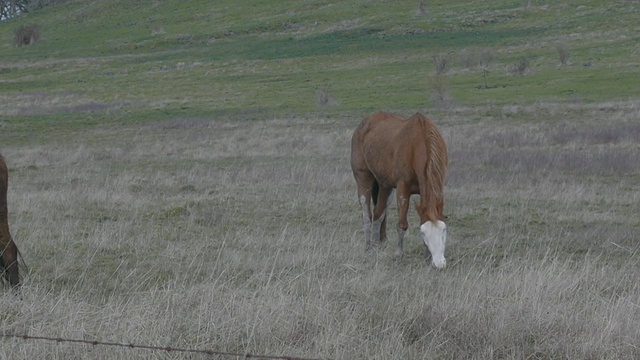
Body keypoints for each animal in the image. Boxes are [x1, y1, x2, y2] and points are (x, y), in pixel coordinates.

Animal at [350, 112, 450, 268]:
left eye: (443, 230)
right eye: (423, 233)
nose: (439, 263)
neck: (417, 144)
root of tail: (364, 124)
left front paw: (427, 257)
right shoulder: (403, 189)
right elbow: (402, 225)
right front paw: (399, 254)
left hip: (385, 186)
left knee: (378, 215)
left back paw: (377, 245)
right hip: (363, 179)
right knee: (367, 216)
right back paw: (368, 247)